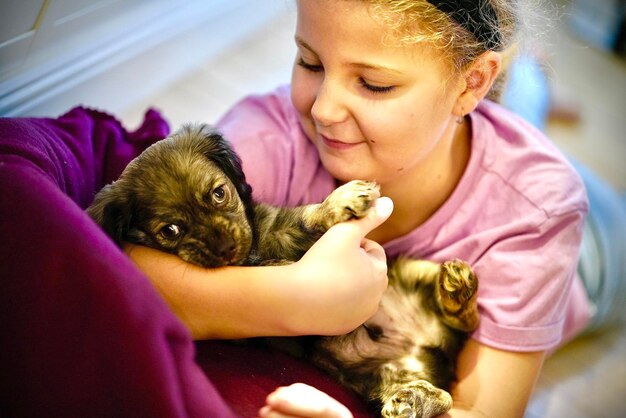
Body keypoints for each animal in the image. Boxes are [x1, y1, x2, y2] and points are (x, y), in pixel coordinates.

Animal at [88, 124, 478, 418]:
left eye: (219, 194)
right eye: (170, 231)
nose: (227, 249)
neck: (255, 249)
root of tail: (431, 348)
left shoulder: (284, 225)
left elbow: (309, 216)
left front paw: (340, 200)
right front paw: (281, 265)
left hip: (414, 269)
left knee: (467, 321)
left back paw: (457, 289)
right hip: (382, 376)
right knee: (441, 394)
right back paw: (413, 399)